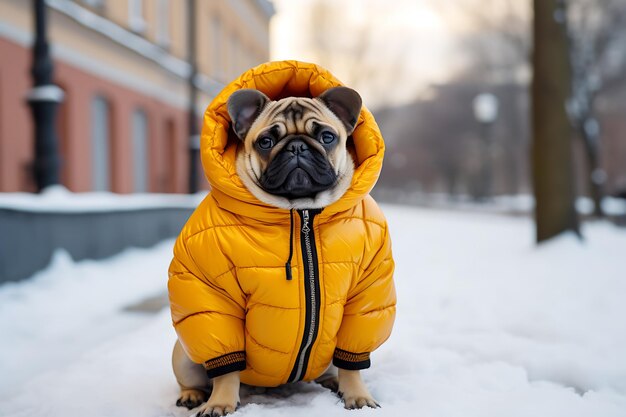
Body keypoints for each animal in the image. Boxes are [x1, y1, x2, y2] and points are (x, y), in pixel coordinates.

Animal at [171, 86, 380, 414]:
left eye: (327, 137)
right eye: (266, 142)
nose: (296, 147)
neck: (300, 211)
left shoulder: (363, 298)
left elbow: (352, 363)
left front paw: (357, 395)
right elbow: (225, 371)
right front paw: (220, 402)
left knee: (332, 367)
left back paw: (332, 381)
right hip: (183, 354)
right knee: (196, 375)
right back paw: (193, 394)